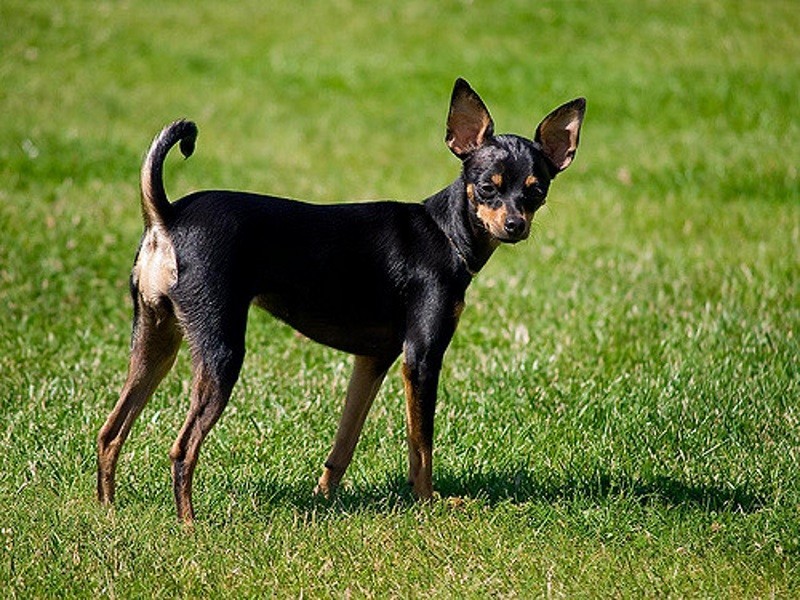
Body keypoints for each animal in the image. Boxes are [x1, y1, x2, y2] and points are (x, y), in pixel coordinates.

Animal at [95, 79, 588, 520]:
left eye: (536, 192)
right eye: (487, 187)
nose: (515, 225)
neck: (445, 232)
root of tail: (167, 216)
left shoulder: (372, 361)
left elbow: (345, 441)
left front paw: (324, 497)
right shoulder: (421, 359)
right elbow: (421, 446)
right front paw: (428, 503)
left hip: (156, 342)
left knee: (110, 431)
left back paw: (108, 512)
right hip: (220, 351)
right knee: (182, 448)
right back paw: (189, 524)